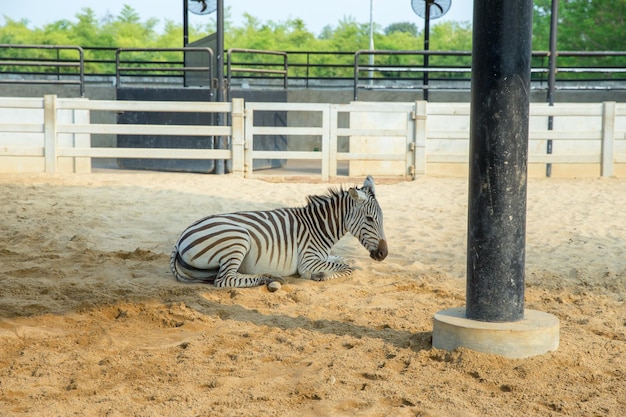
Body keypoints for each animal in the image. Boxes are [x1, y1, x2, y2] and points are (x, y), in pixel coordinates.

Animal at [168, 175, 388, 286]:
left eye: (382, 217)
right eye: (369, 219)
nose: (384, 254)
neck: (318, 226)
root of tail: (180, 238)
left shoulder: (322, 256)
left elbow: (342, 260)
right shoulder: (307, 260)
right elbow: (346, 267)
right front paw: (319, 276)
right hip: (238, 239)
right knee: (224, 280)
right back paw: (267, 278)